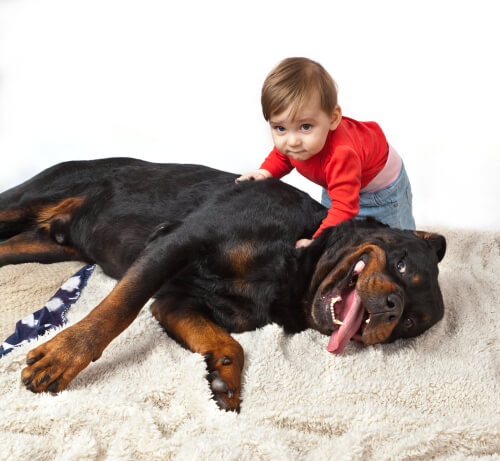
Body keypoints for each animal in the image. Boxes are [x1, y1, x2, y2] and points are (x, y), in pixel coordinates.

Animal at [0, 157, 446, 410]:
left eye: (409, 325)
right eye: (402, 264)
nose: (393, 307)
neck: (294, 269)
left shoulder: (178, 302)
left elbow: (230, 344)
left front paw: (223, 380)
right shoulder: (178, 241)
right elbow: (119, 308)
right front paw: (62, 357)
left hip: (40, 247)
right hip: (25, 201)